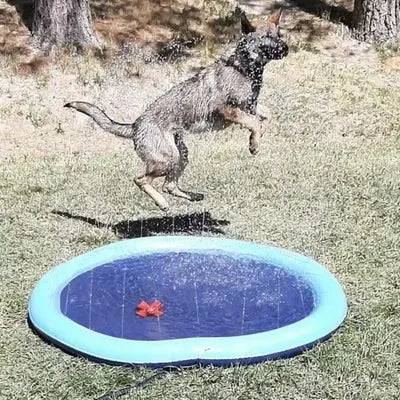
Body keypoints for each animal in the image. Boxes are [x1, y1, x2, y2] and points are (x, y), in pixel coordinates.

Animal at [65, 9, 288, 211]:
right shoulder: (228, 109)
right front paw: (254, 144)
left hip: (181, 154)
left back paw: (191, 196)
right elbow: (254, 122)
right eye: (267, 37)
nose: (286, 48)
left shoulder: (251, 106)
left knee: (168, 185)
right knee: (141, 179)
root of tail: (136, 125)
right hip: (167, 158)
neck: (243, 68)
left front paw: (255, 139)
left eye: (279, 35)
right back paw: (162, 203)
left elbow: (266, 117)